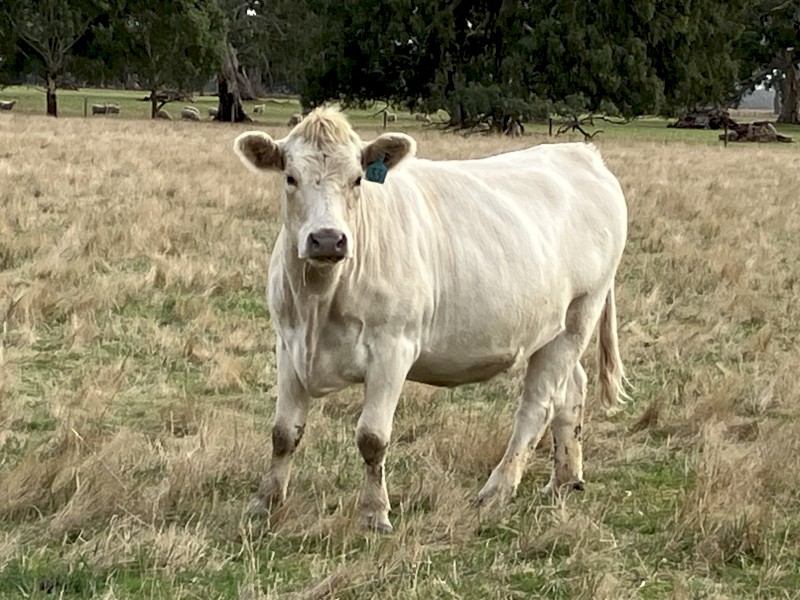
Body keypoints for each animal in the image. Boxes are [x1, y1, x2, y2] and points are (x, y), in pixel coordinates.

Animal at [233, 106, 628, 533]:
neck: (318, 304)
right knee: (571, 391)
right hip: (556, 330)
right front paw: (265, 502)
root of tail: (580, 154)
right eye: (290, 177)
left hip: (580, 313)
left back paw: (498, 488)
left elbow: (372, 437)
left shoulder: (393, 348)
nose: (327, 239)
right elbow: (283, 433)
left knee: (537, 406)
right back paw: (565, 479)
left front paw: (375, 513)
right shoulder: (288, 344)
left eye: (357, 179)